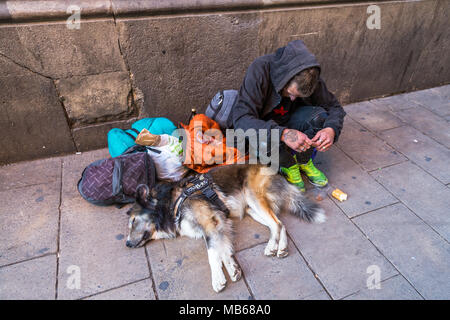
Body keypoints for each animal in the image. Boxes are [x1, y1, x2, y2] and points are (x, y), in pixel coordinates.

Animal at [125, 165, 326, 292]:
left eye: (133, 221)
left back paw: (272, 246)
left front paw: (218, 278)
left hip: (253, 197)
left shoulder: (210, 223)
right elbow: (224, 250)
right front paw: (232, 269)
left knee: (277, 223)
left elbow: (212, 253)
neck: (171, 203)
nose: (127, 244)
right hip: (251, 209)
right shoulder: (220, 224)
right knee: (280, 224)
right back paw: (281, 248)